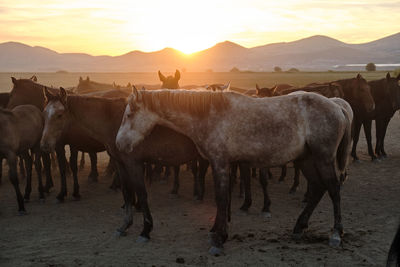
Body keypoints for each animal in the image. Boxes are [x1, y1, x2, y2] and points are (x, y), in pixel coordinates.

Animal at [40, 89, 209, 243]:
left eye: (59, 115)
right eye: (44, 113)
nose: (44, 145)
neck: (112, 119)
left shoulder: (133, 163)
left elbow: (141, 193)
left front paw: (146, 230)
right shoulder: (120, 164)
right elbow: (127, 192)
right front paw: (125, 225)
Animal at [118, 88, 354, 255]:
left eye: (129, 114)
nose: (119, 144)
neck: (209, 115)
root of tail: (336, 105)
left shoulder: (220, 163)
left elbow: (222, 198)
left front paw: (219, 240)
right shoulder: (222, 163)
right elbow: (222, 199)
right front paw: (217, 232)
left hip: (323, 158)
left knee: (333, 189)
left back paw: (336, 234)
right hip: (306, 160)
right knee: (317, 188)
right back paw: (299, 227)